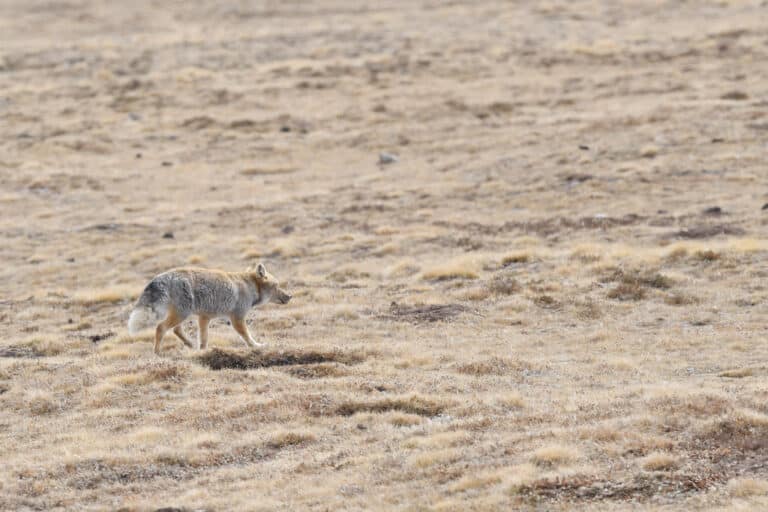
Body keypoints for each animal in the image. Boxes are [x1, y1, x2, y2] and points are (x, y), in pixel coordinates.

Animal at [127, 263, 291, 355]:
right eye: (277, 286)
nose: (290, 296)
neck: (249, 286)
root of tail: (163, 276)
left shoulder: (204, 317)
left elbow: (204, 339)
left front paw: (203, 352)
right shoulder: (237, 318)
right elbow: (246, 336)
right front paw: (256, 346)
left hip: (182, 314)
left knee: (176, 330)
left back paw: (190, 344)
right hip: (182, 313)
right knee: (161, 328)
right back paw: (157, 352)